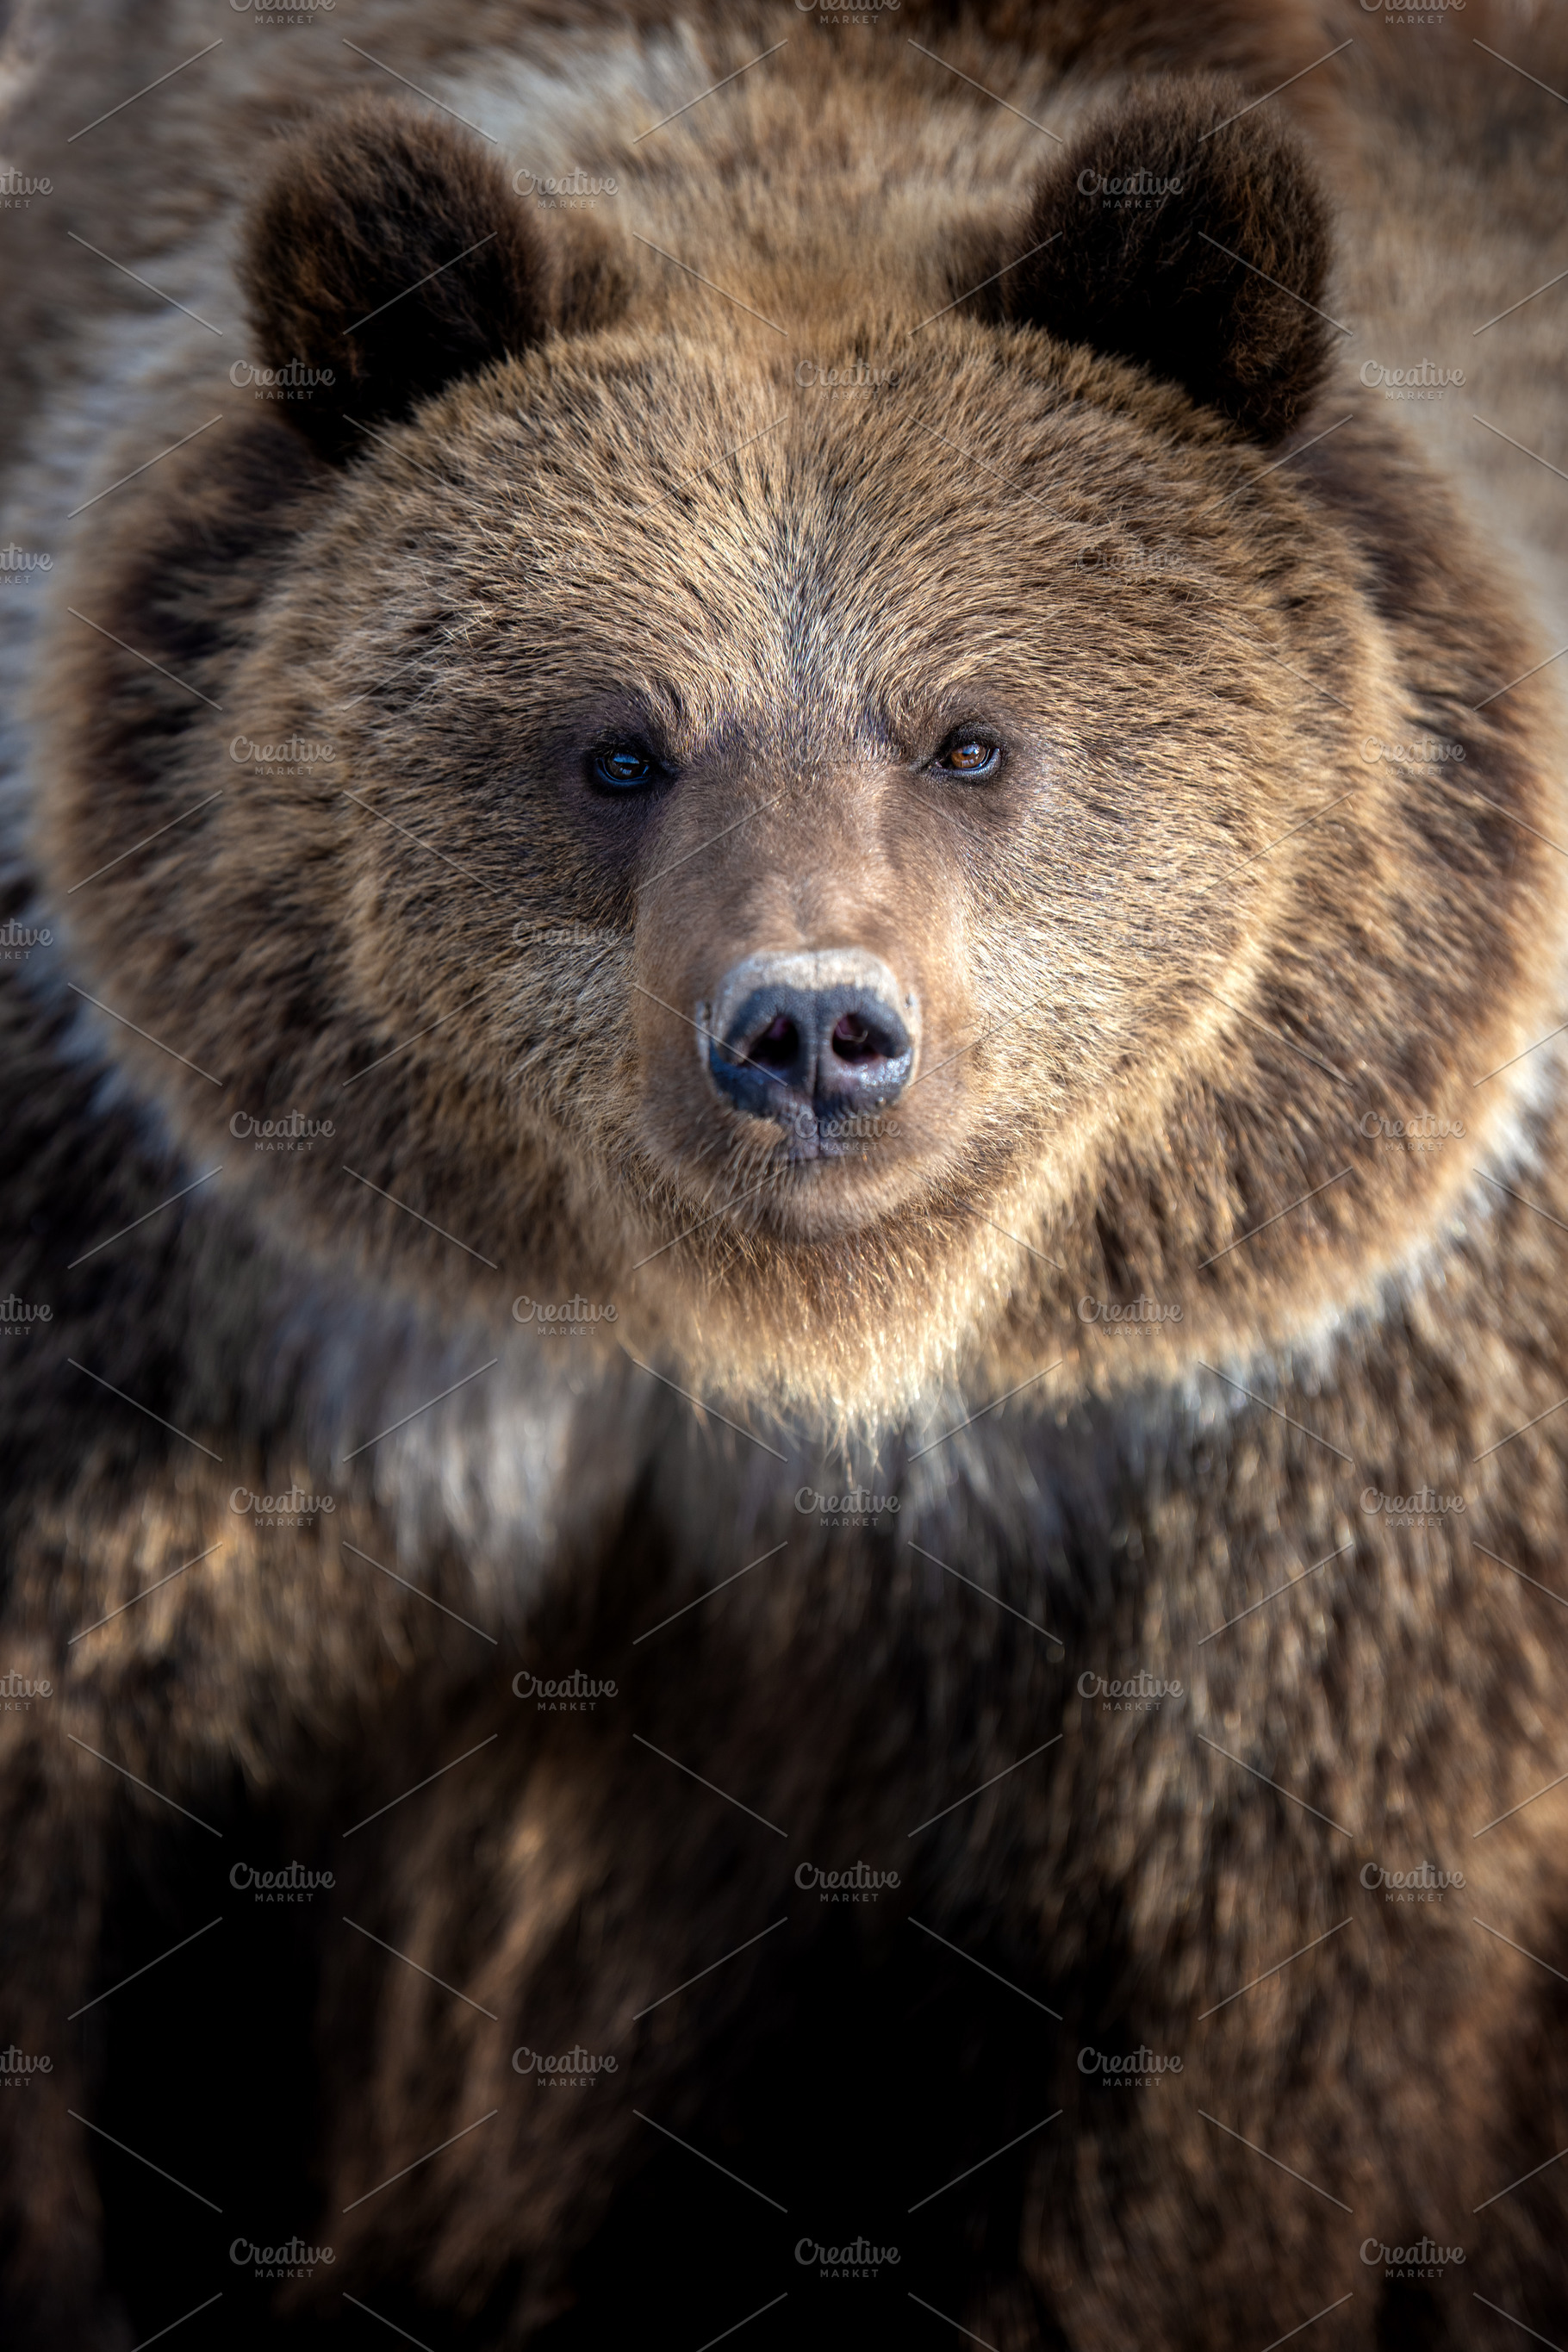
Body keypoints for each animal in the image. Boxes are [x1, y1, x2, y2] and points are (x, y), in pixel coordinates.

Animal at [2, 0, 1568, 2345]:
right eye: (616, 744)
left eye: (972, 735)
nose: (813, 1033)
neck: (752, 1372)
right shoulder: (179, 1318)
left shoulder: (1290, 1479)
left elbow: (1201, 2056)